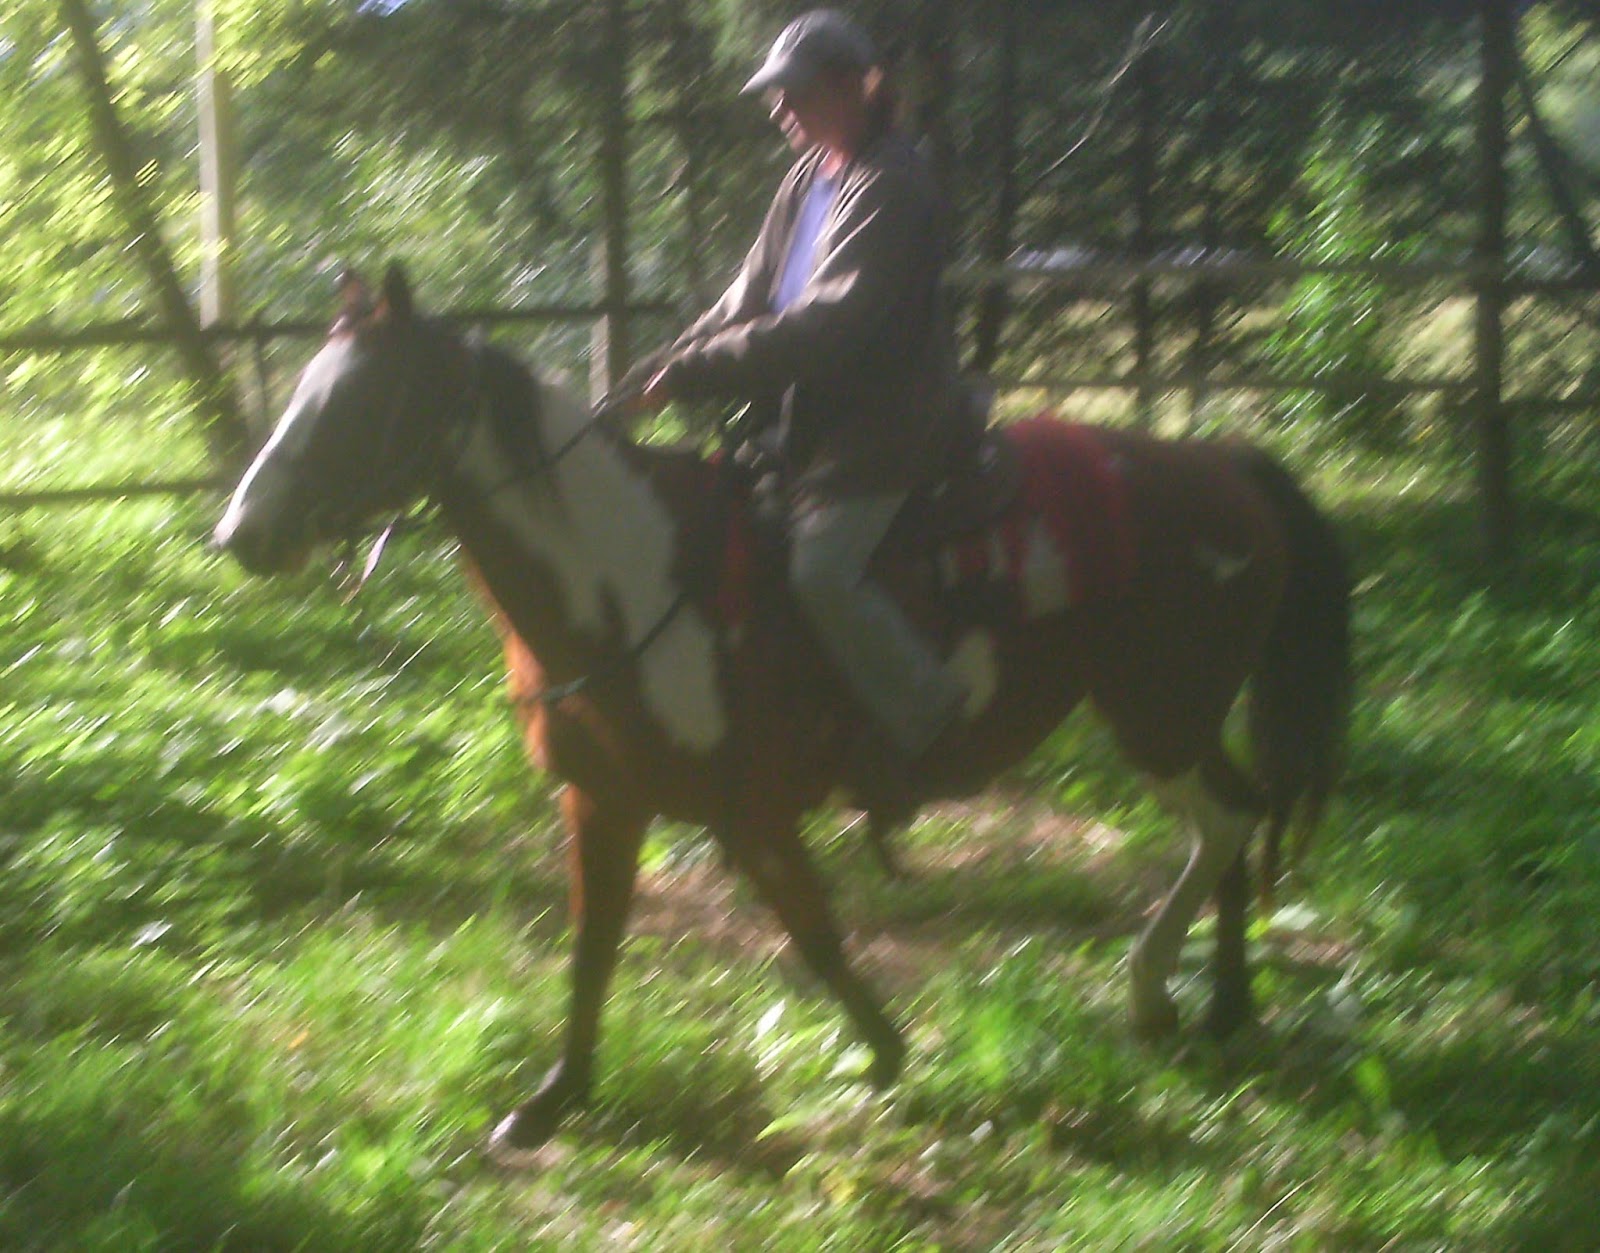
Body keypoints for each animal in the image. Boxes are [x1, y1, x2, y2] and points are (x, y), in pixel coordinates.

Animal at [214, 264, 1350, 1155]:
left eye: (364, 404)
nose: (240, 534)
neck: (637, 579)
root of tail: (1218, 462)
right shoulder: (601, 800)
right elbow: (593, 947)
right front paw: (554, 1100)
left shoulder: (752, 810)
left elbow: (815, 934)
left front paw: (885, 1055)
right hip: (1164, 718)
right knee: (1229, 819)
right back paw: (1200, 1000)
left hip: (1160, 713)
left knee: (1231, 817)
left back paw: (1185, 993)